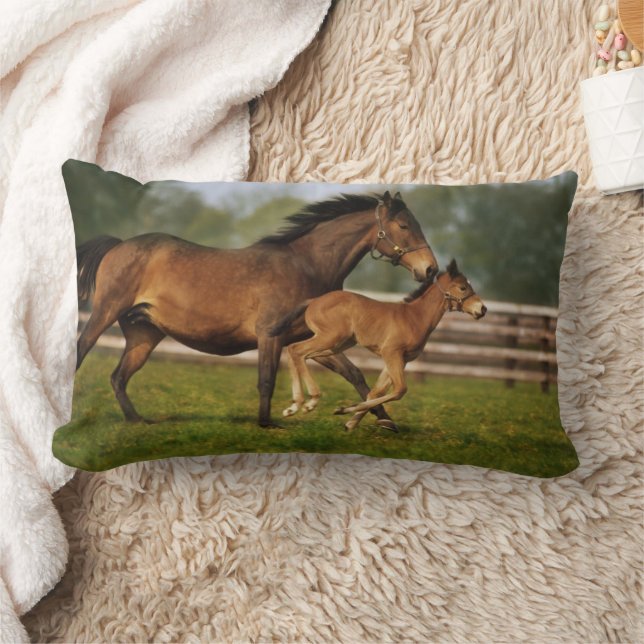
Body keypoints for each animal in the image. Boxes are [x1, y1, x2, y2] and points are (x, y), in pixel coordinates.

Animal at [75, 190, 438, 428]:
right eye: (404, 226)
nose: (430, 269)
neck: (307, 265)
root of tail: (119, 244)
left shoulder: (315, 340)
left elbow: (356, 375)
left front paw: (384, 422)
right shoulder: (271, 335)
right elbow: (267, 380)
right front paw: (269, 423)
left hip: (144, 334)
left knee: (119, 377)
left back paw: (137, 421)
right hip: (105, 313)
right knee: (81, 351)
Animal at [270, 259, 486, 431]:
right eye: (463, 287)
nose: (482, 309)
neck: (414, 318)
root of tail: (314, 300)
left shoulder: (401, 359)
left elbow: (376, 391)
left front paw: (351, 423)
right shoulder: (391, 353)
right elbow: (399, 390)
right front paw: (343, 410)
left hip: (337, 343)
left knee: (301, 353)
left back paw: (296, 405)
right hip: (330, 338)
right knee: (297, 350)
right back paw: (307, 402)